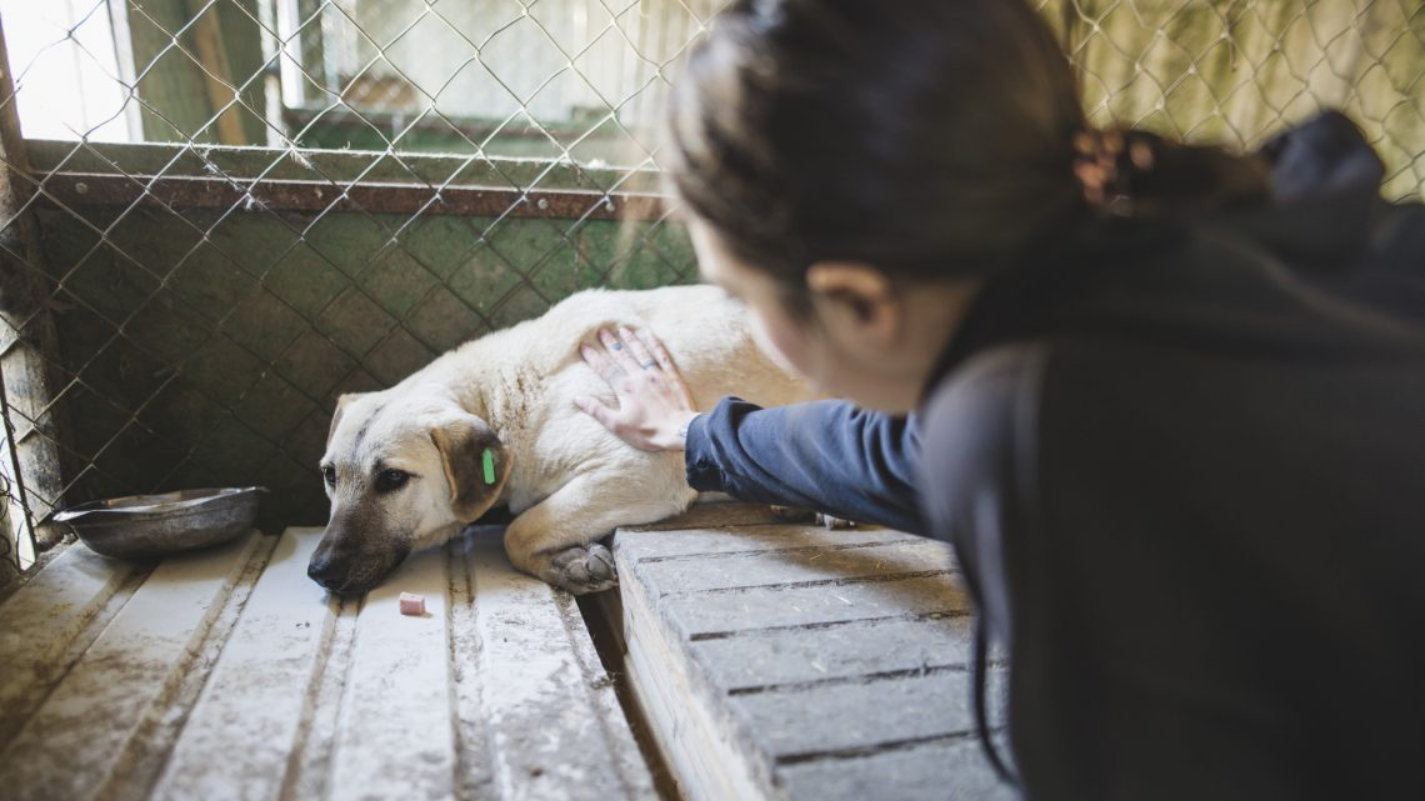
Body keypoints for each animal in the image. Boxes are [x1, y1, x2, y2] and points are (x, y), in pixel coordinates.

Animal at [307, 285, 809, 592]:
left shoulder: (641, 469)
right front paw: (566, 561)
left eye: (392, 478)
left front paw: (564, 562)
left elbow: (516, 531)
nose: (318, 571)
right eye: (330, 476)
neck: (507, 393)